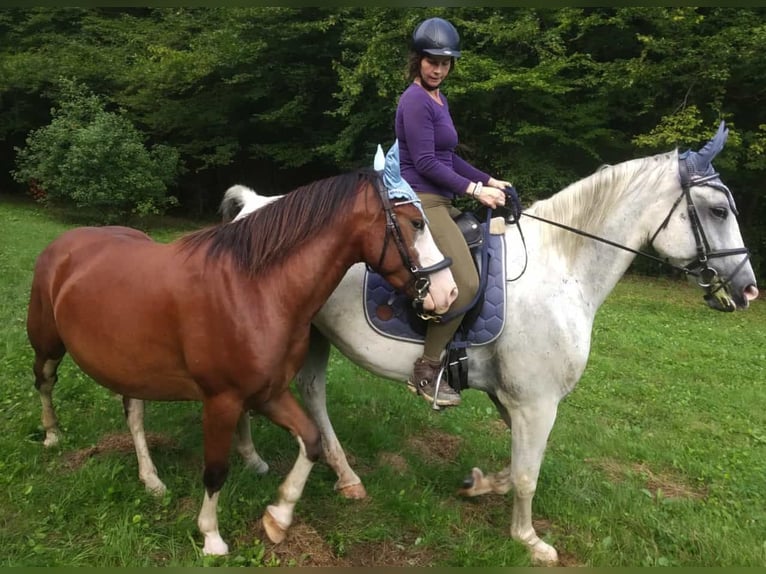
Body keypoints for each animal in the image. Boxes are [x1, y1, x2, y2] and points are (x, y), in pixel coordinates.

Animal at [25, 151, 458, 556]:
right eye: (416, 223)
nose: (448, 292)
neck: (255, 289)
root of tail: (64, 244)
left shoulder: (268, 393)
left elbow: (312, 440)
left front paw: (278, 517)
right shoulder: (222, 400)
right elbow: (216, 470)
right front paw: (212, 537)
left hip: (132, 367)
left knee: (133, 414)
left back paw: (151, 480)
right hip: (47, 343)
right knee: (45, 380)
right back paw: (52, 434)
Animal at [90, 122, 760, 564]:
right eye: (716, 209)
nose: (749, 288)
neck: (562, 267)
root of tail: (258, 205)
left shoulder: (513, 400)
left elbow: (512, 467)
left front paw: (479, 485)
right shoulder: (537, 402)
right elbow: (528, 476)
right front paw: (530, 540)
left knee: (297, 395)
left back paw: (283, 464)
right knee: (307, 398)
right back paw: (331, 474)